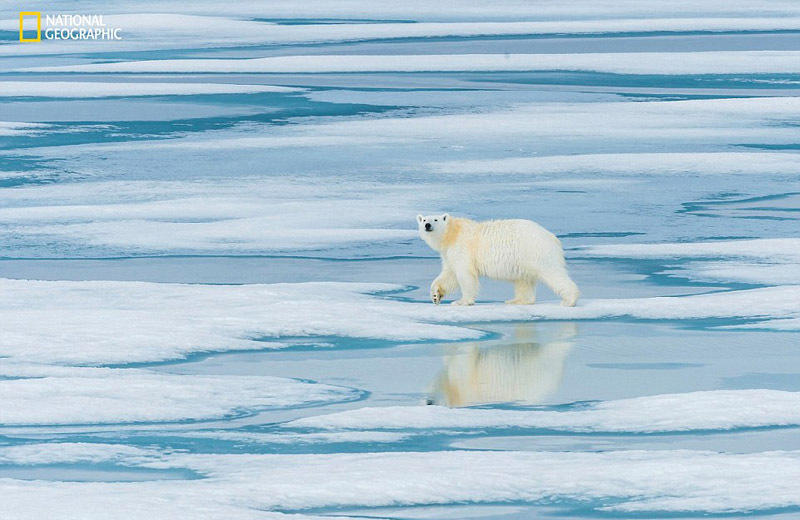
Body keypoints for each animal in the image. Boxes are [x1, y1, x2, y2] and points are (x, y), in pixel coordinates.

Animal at [416, 213, 580, 306]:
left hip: (535, 252)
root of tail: (552, 237)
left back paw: (569, 300)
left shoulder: (463, 248)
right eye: (423, 219)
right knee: (524, 280)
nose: (427, 225)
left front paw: (461, 301)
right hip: (524, 258)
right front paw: (435, 295)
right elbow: (449, 274)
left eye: (435, 219)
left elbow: (465, 275)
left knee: (552, 273)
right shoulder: (449, 253)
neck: (452, 233)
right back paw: (516, 300)